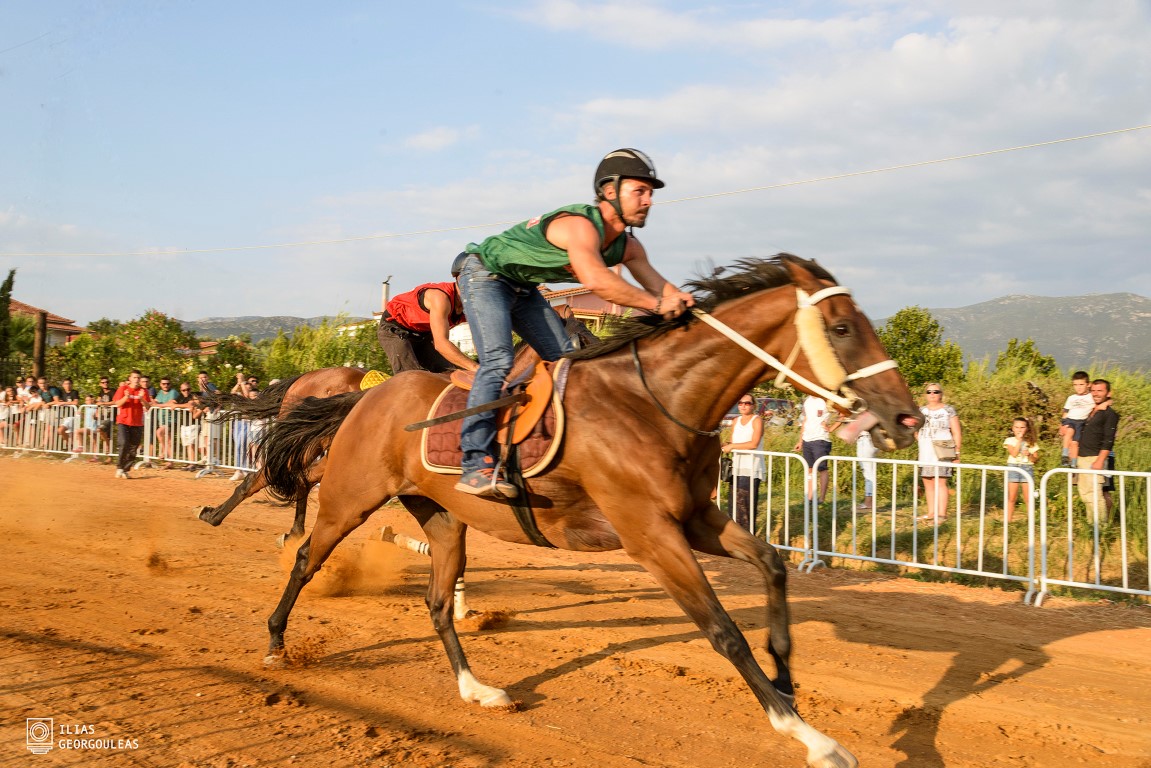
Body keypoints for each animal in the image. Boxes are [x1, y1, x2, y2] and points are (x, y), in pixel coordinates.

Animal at [256, 256, 920, 768]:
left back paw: (478, 690)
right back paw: (276, 643)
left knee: (439, 602)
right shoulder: (650, 535)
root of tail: (364, 396)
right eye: (841, 327)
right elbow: (724, 632)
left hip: (443, 519)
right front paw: (808, 736)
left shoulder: (694, 518)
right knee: (307, 557)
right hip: (350, 498)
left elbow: (772, 564)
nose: (907, 418)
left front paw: (786, 681)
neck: (656, 400)